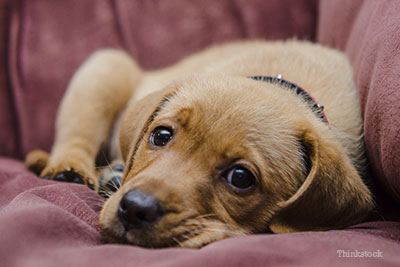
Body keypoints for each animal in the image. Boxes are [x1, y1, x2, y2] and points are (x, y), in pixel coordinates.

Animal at [26, 39, 374, 249]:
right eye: (161, 136)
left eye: (241, 178)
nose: (134, 209)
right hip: (104, 69)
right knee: (76, 137)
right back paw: (70, 168)